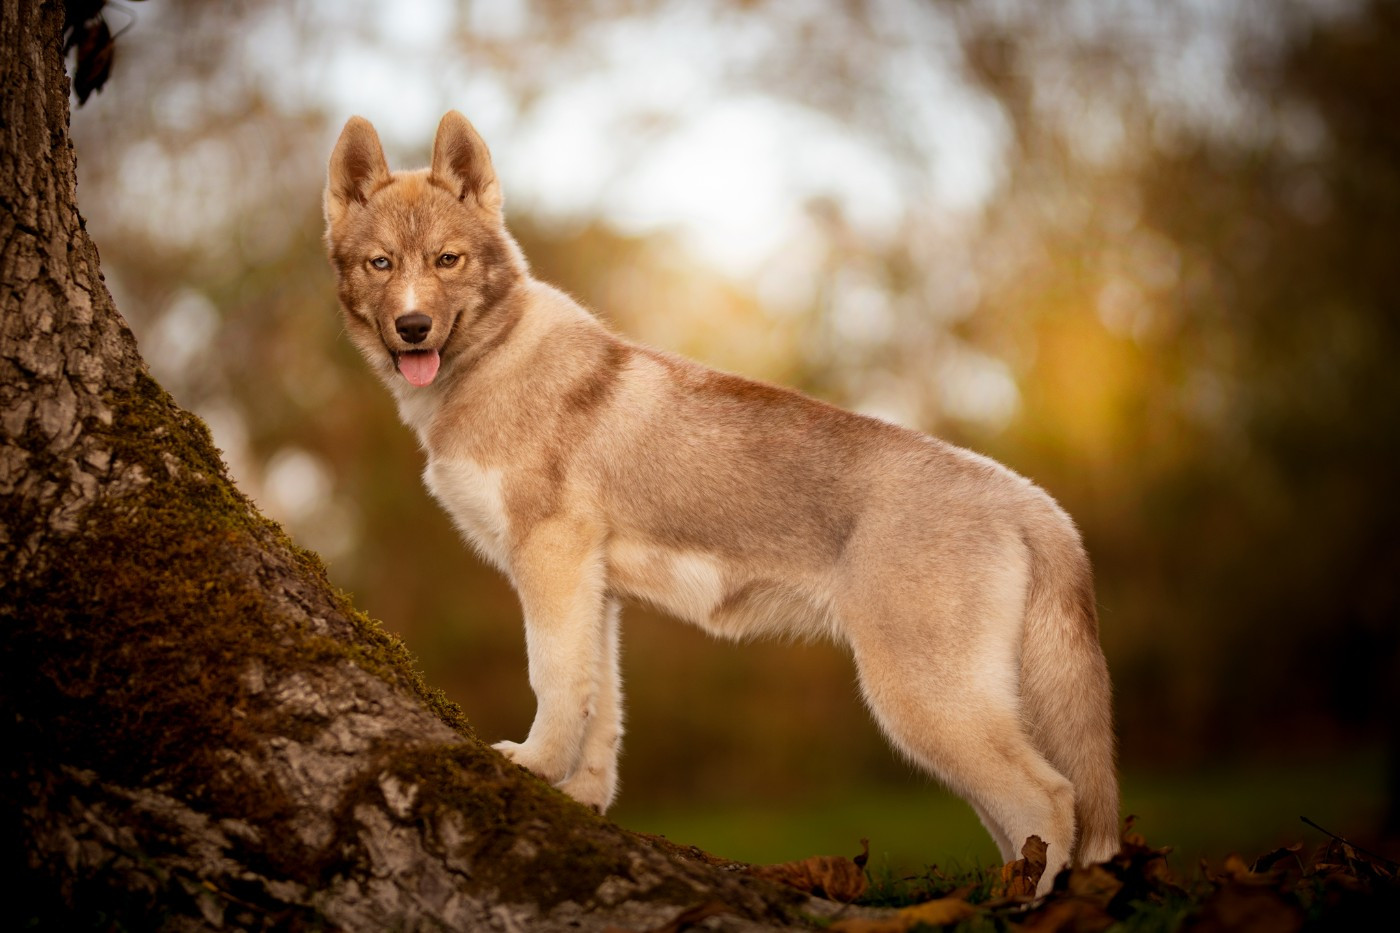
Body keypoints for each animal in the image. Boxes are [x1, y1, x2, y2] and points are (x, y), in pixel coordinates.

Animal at [323, 110, 1119, 892]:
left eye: (447, 260)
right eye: (381, 263)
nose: (413, 328)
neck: (491, 364)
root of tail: (1028, 498)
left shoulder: (549, 560)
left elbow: (551, 681)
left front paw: (532, 766)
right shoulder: (594, 590)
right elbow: (599, 706)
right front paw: (580, 797)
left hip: (925, 703)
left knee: (1050, 798)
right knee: (1027, 816)